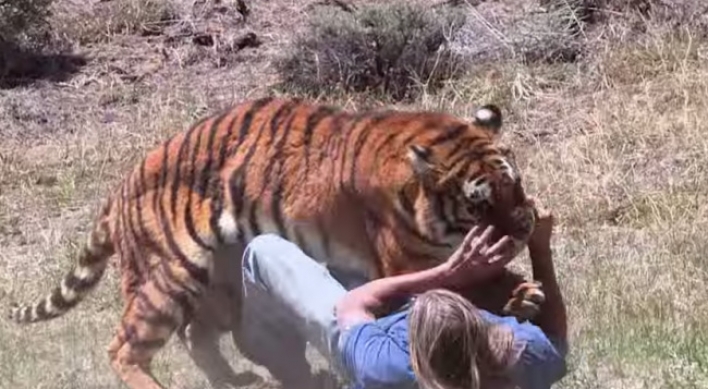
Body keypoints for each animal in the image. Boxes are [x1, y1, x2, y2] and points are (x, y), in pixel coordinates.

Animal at [5, 97, 540, 388]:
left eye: (515, 185)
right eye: (480, 203)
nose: (525, 226)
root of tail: (119, 188)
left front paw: (525, 293)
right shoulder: (407, 263)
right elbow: (465, 284)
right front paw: (515, 292)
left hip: (218, 285)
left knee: (196, 335)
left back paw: (234, 379)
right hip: (171, 277)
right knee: (123, 347)